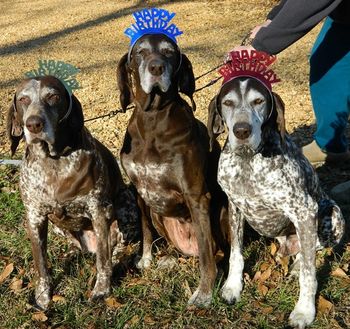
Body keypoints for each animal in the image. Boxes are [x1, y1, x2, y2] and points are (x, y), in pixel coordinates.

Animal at [116, 33, 228, 304]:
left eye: (169, 52)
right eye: (141, 52)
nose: (156, 68)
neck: (153, 119)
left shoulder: (196, 195)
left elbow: (207, 255)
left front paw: (204, 292)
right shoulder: (140, 192)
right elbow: (145, 230)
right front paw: (146, 259)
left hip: (222, 209)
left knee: (217, 252)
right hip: (160, 214)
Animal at [208, 52, 344, 326]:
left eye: (258, 101)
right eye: (227, 103)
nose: (242, 130)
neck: (248, 162)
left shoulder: (305, 211)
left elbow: (309, 274)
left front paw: (304, 310)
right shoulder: (234, 207)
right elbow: (236, 254)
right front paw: (232, 287)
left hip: (332, 213)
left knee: (313, 249)